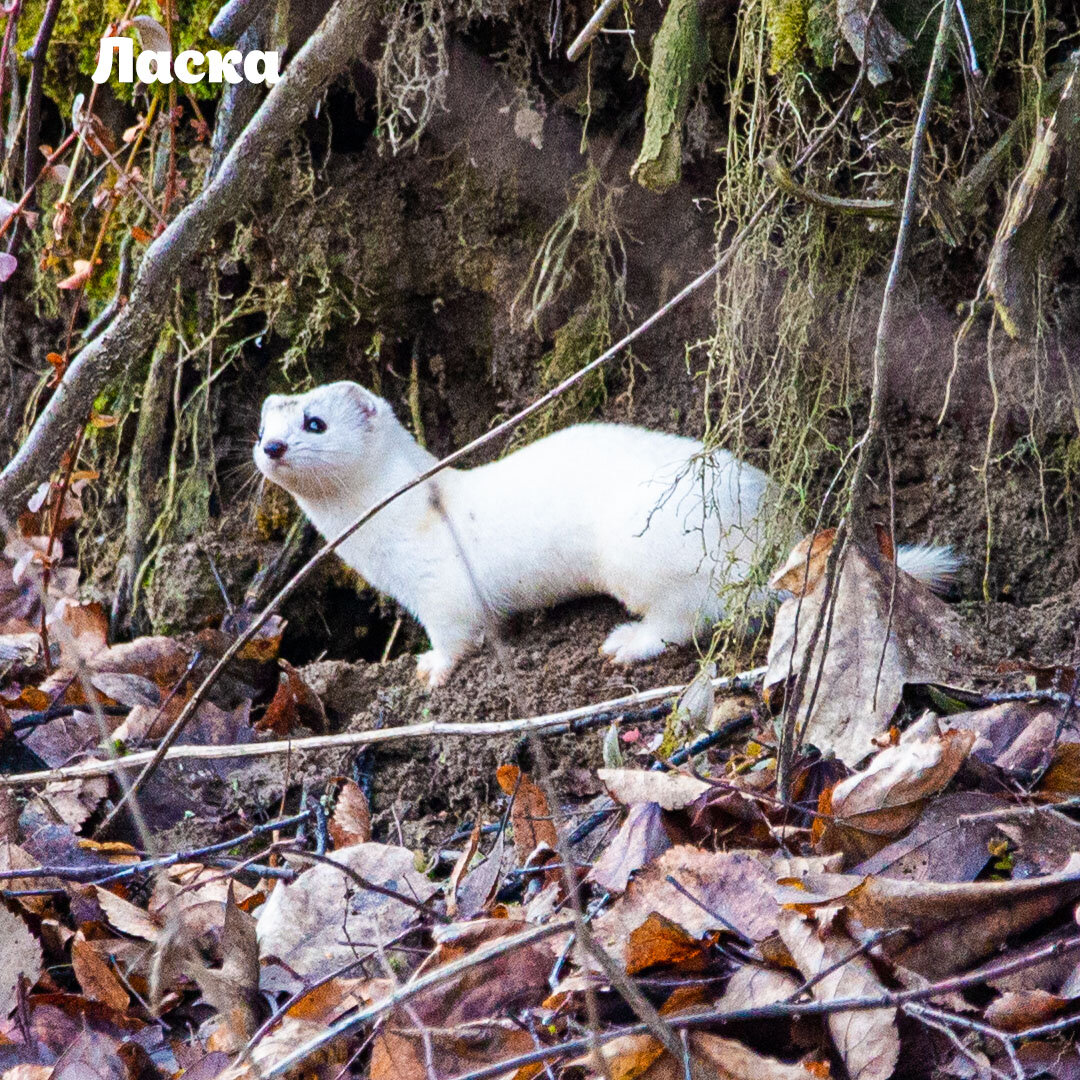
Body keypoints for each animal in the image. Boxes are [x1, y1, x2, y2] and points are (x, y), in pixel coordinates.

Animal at [254, 382, 963, 682]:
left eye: (314, 422)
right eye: (265, 423)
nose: (272, 447)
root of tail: (771, 523)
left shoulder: (443, 586)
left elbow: (460, 632)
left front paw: (430, 667)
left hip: (643, 555)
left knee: (698, 615)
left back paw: (629, 640)